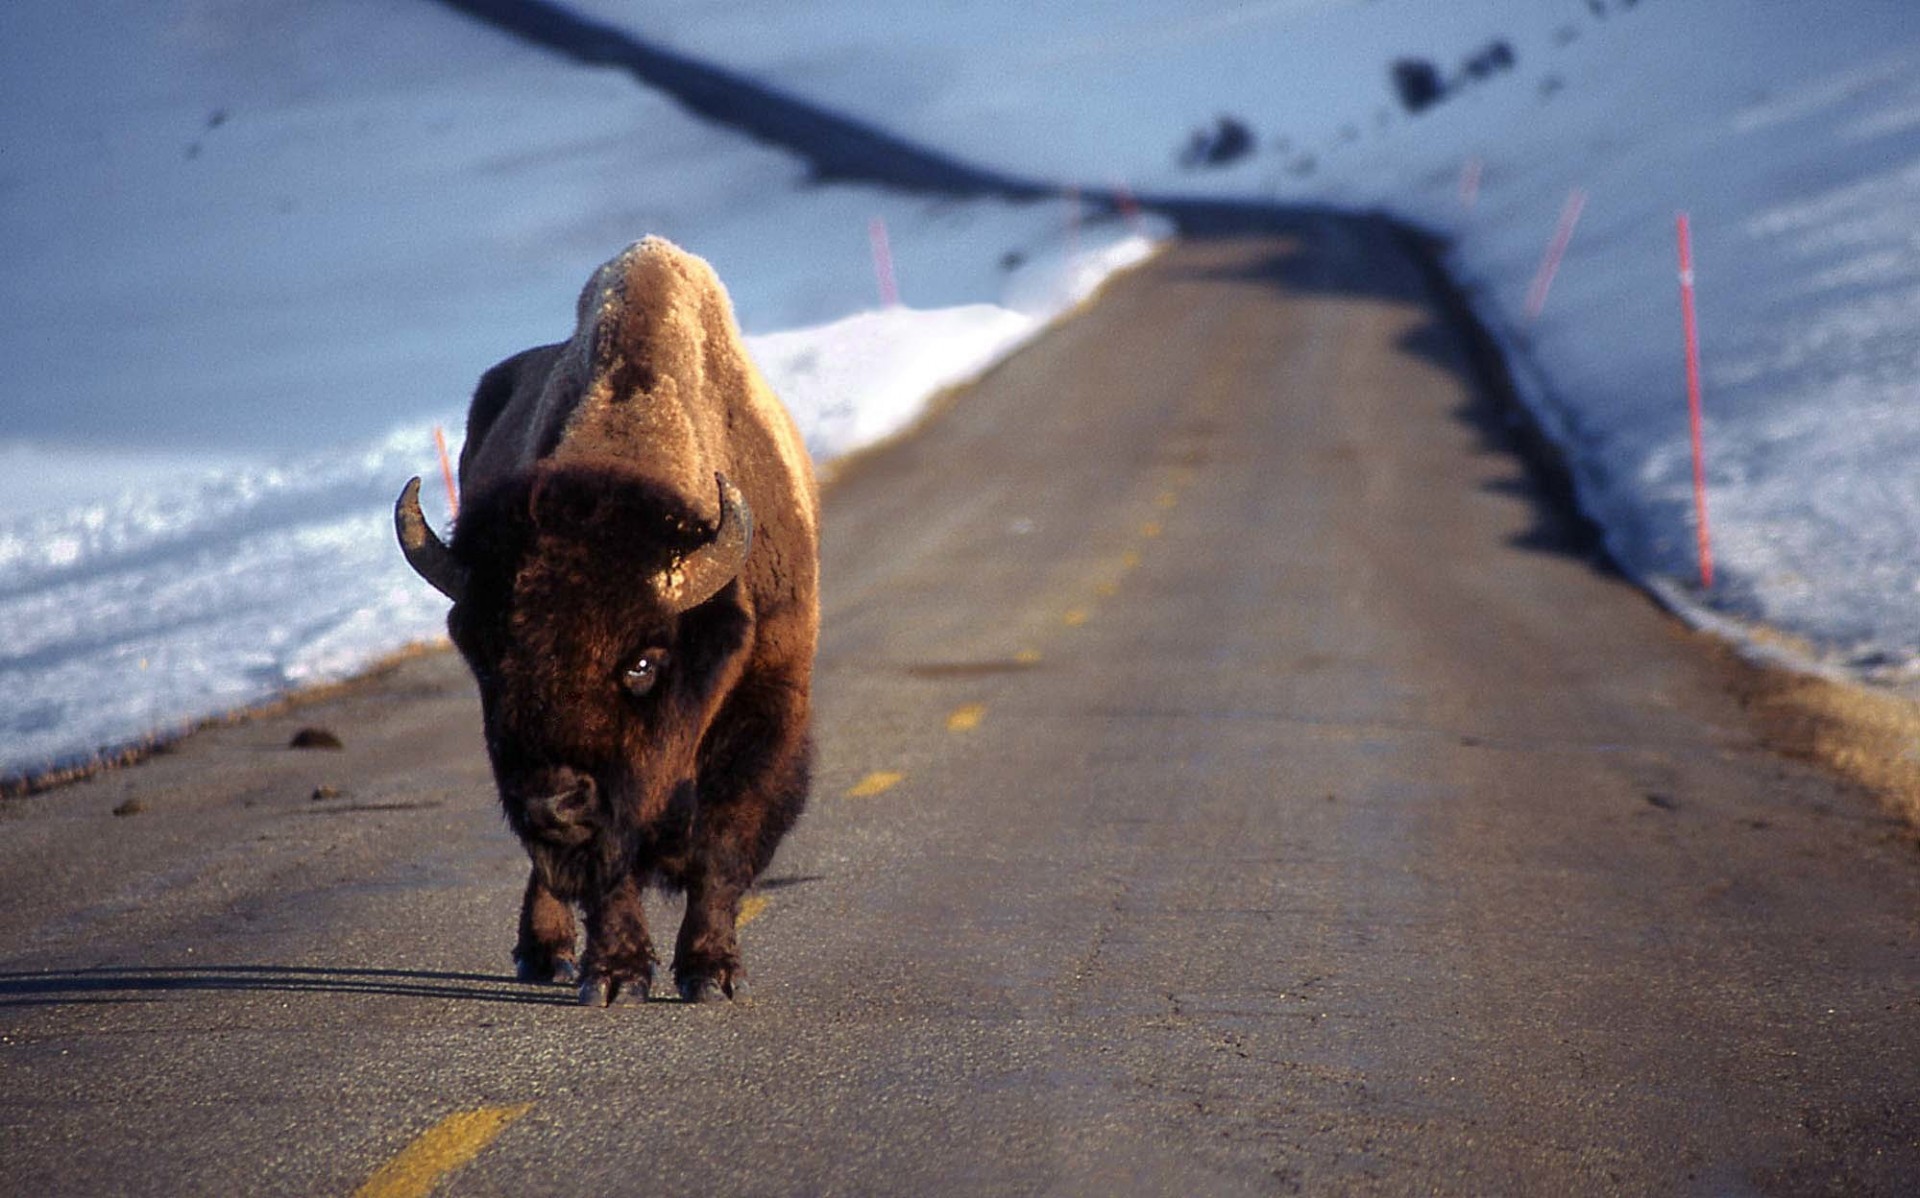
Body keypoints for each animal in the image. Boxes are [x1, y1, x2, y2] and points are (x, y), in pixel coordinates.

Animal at [396, 238, 818, 1005]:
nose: (554, 801)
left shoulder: (770, 703)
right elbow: (606, 874)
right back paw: (546, 953)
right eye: (490, 655)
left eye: (642, 662)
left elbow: (721, 846)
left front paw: (711, 972)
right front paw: (615, 977)